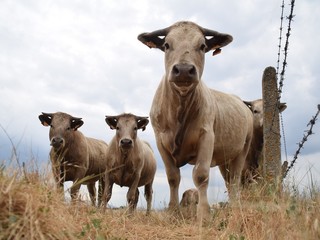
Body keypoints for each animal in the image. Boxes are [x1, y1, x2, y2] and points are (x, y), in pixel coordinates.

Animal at [139, 21, 254, 221]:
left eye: (202, 46)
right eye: (166, 45)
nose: (184, 70)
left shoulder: (206, 136)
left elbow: (201, 175)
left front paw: (204, 214)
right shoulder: (161, 141)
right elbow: (173, 177)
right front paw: (173, 212)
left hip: (242, 149)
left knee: (235, 181)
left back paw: (235, 209)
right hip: (225, 158)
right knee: (229, 182)